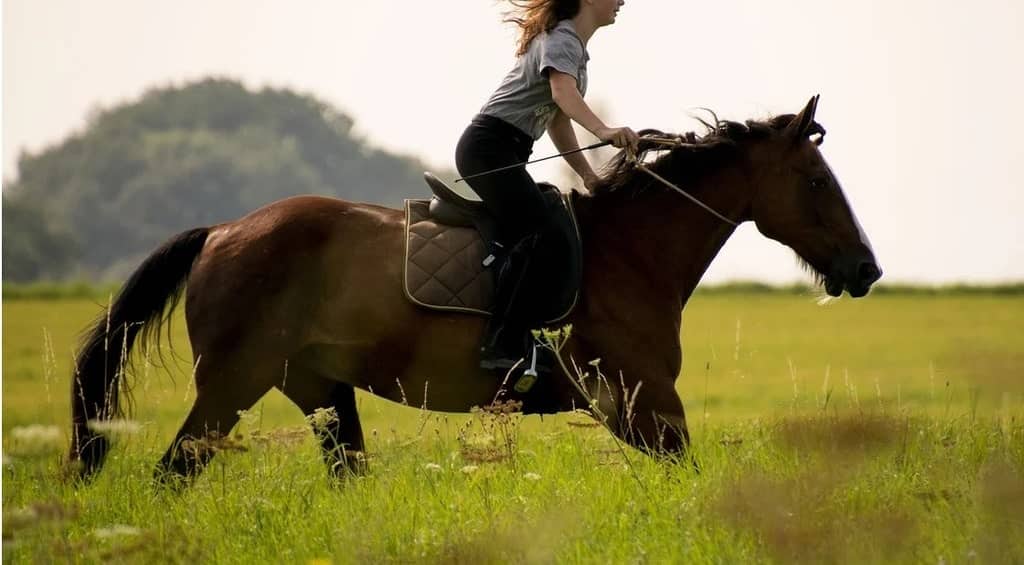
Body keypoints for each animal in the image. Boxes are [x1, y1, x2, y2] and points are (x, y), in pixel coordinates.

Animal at [68, 94, 880, 483]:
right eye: (815, 181)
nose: (866, 269)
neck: (631, 250)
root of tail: (223, 231)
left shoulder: (643, 407)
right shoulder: (643, 401)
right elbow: (691, 476)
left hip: (320, 390)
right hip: (232, 384)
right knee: (172, 473)